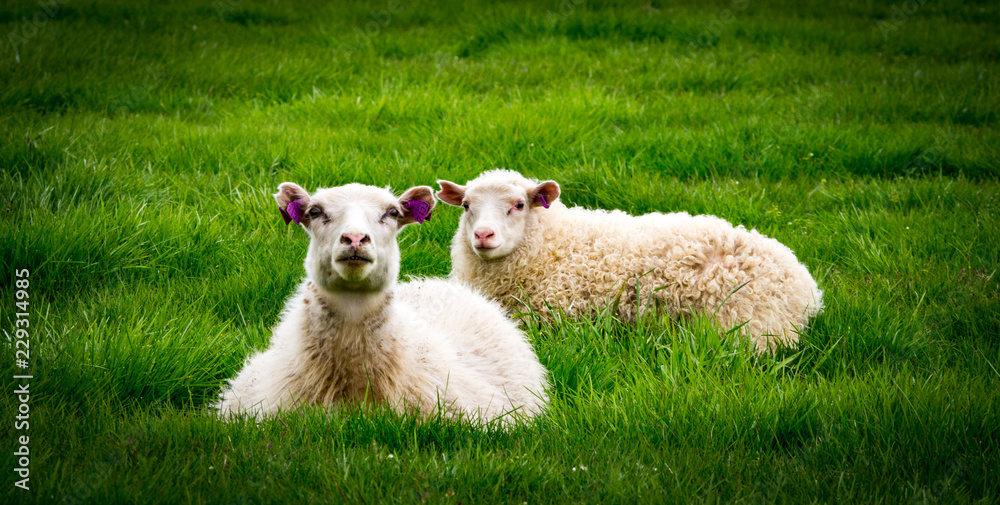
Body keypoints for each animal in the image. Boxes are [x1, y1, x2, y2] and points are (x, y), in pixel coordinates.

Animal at [436, 169, 824, 353]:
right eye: (466, 206)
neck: (552, 244)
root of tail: (807, 289)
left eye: (518, 205)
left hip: (749, 328)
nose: (483, 235)